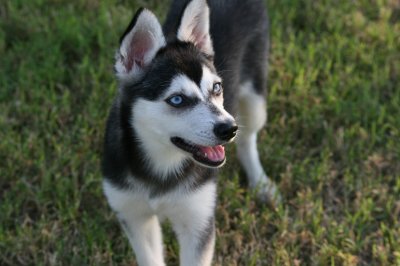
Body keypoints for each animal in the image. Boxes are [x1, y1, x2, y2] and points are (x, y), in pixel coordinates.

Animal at [101, 0, 280, 264]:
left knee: (248, 139)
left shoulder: (198, 218)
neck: (162, 164)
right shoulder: (133, 215)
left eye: (216, 87)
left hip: (255, 96)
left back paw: (261, 184)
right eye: (177, 99)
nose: (229, 129)